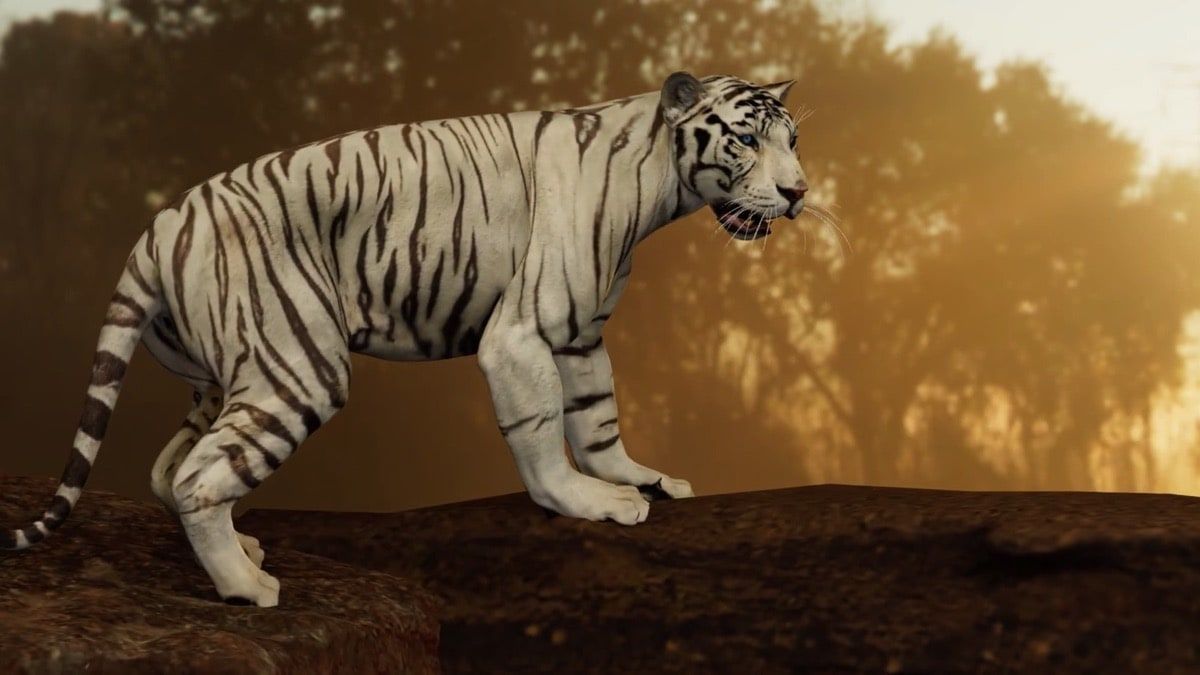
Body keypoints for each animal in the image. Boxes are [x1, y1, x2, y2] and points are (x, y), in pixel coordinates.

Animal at [2, 71, 809, 607]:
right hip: (297, 364)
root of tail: (159, 226)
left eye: (793, 140)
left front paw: (638, 479)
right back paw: (249, 586)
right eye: (745, 139)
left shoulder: (580, 336)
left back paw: (240, 550)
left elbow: (600, 420)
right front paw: (586, 500)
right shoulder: (521, 333)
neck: (655, 183)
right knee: (200, 475)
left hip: (224, 374)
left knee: (168, 469)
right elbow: (544, 432)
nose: (800, 192)